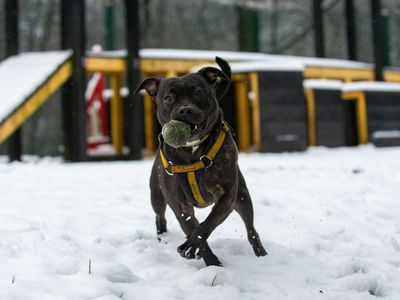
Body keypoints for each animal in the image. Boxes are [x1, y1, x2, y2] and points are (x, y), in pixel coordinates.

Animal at [136, 57, 268, 266]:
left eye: (198, 92)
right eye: (168, 98)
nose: (185, 109)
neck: (192, 150)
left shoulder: (227, 195)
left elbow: (208, 223)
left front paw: (193, 246)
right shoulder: (180, 206)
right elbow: (192, 227)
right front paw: (212, 263)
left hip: (242, 196)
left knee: (250, 228)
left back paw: (261, 254)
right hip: (156, 196)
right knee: (159, 216)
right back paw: (162, 236)